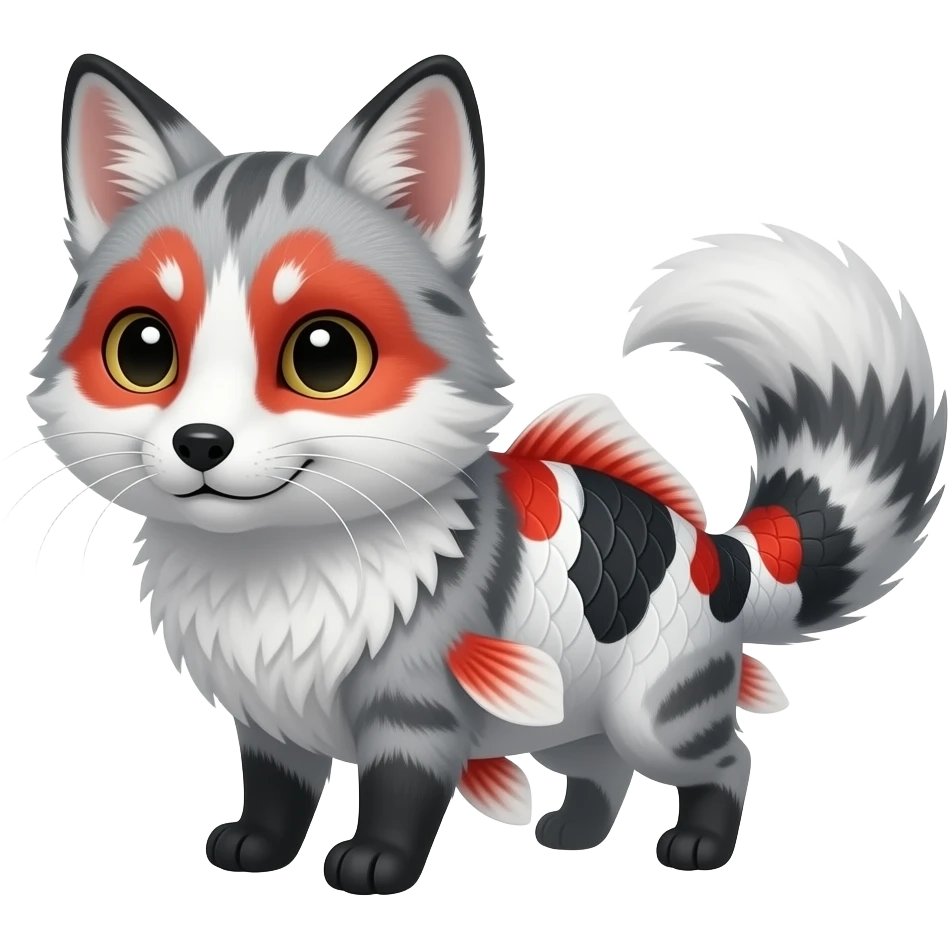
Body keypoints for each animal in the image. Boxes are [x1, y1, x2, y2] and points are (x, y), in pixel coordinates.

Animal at [24, 52, 944, 891]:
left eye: (324, 356)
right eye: (144, 349)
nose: (201, 442)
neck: (270, 570)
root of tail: (720, 550)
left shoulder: (417, 706)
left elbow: (402, 792)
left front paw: (376, 864)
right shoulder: (269, 717)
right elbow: (277, 789)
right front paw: (256, 847)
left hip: (657, 707)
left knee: (727, 759)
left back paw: (700, 846)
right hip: (578, 715)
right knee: (603, 766)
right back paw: (572, 833)